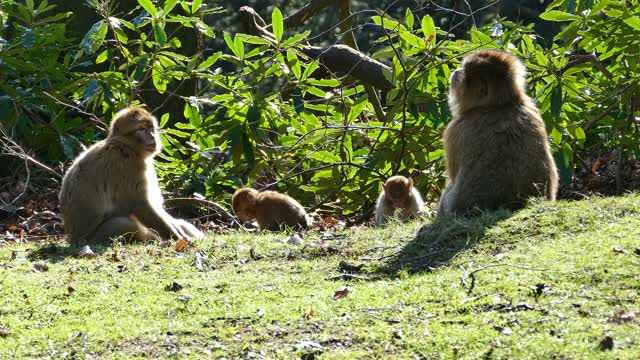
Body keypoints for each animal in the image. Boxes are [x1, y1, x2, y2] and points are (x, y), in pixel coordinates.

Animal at [59, 106, 202, 245]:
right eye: (142, 129)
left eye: (150, 128)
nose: (152, 137)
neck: (127, 146)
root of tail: (72, 238)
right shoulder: (127, 165)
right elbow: (139, 205)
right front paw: (178, 238)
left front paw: (180, 232)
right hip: (94, 237)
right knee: (124, 224)